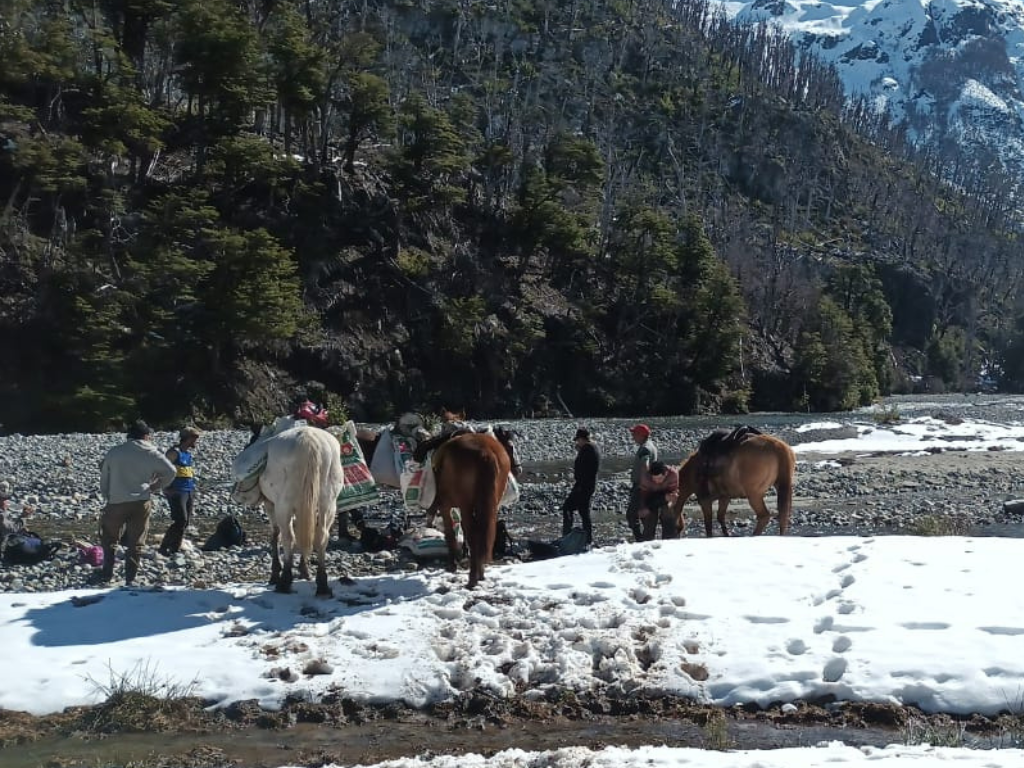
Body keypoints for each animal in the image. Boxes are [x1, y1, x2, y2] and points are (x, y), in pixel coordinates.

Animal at [232, 425, 345, 596]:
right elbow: (303, 532)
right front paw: (304, 570)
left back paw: (284, 581)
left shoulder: (270, 504)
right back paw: (322, 585)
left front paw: (275, 573)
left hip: (283, 505)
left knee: (288, 537)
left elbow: (275, 535)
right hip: (328, 503)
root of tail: (308, 439)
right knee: (321, 536)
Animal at [429, 426, 521, 588]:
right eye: (510, 446)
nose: (518, 469)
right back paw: (480, 574)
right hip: (489, 505)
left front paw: (452, 564)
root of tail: (485, 453)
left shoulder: (445, 506)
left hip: (465, 505)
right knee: (484, 532)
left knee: (472, 534)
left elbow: (450, 533)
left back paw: (472, 579)